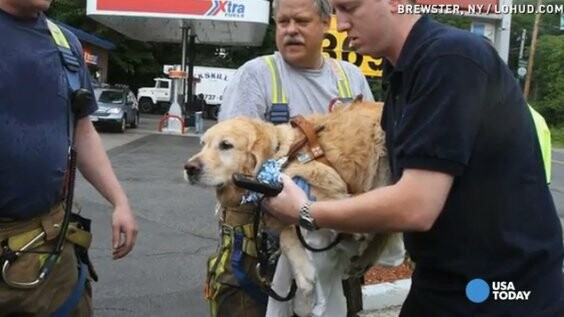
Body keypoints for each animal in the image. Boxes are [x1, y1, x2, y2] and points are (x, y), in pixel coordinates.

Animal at [184, 100, 392, 314]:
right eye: (203, 144)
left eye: (226, 145)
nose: (189, 168)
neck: (279, 156)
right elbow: (286, 232)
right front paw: (303, 271)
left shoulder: (328, 185)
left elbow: (322, 210)